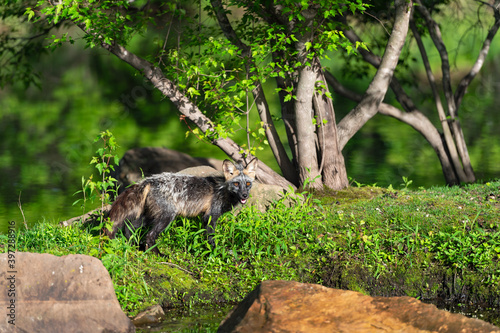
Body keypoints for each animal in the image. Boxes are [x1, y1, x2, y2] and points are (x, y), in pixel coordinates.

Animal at [105, 157, 258, 255]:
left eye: (248, 184)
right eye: (236, 184)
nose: (244, 195)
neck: (223, 190)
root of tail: (149, 180)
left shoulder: (205, 217)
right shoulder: (210, 216)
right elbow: (211, 239)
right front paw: (215, 253)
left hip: (150, 216)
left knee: (130, 227)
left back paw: (134, 247)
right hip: (167, 216)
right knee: (149, 235)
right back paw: (158, 254)